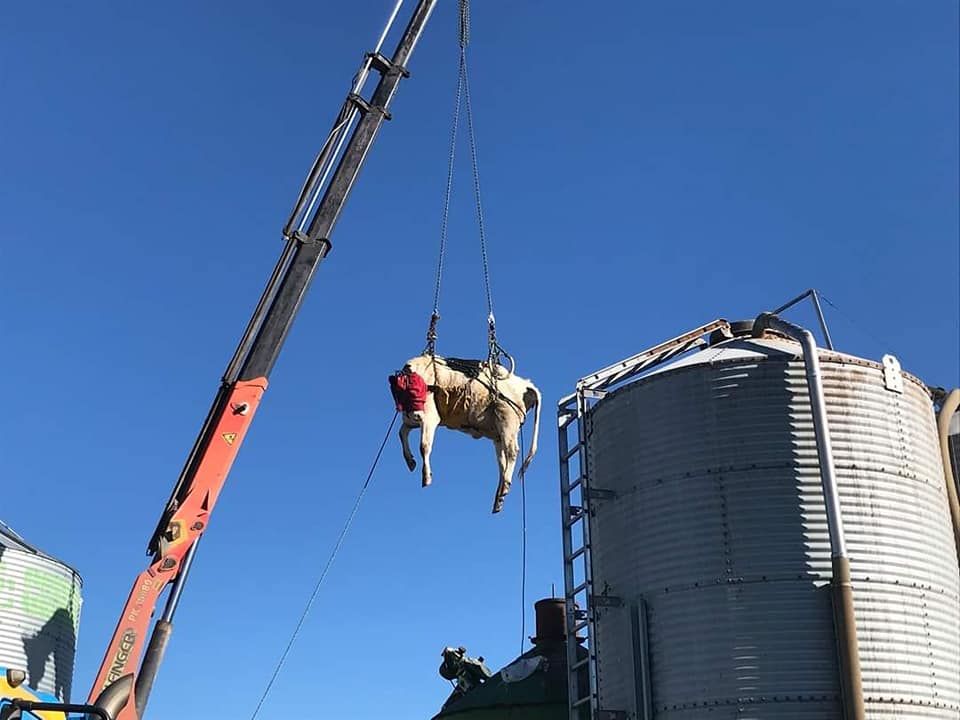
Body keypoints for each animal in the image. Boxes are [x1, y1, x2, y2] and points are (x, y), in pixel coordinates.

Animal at [392, 354, 540, 512]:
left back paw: (505, 486)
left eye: (413, 387)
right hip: (498, 433)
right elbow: (402, 433)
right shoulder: (412, 419)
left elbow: (424, 446)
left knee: (512, 452)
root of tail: (525, 384)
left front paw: (426, 476)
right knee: (502, 461)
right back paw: (499, 496)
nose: (416, 414)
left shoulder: (430, 417)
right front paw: (410, 461)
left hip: (507, 421)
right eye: (399, 392)